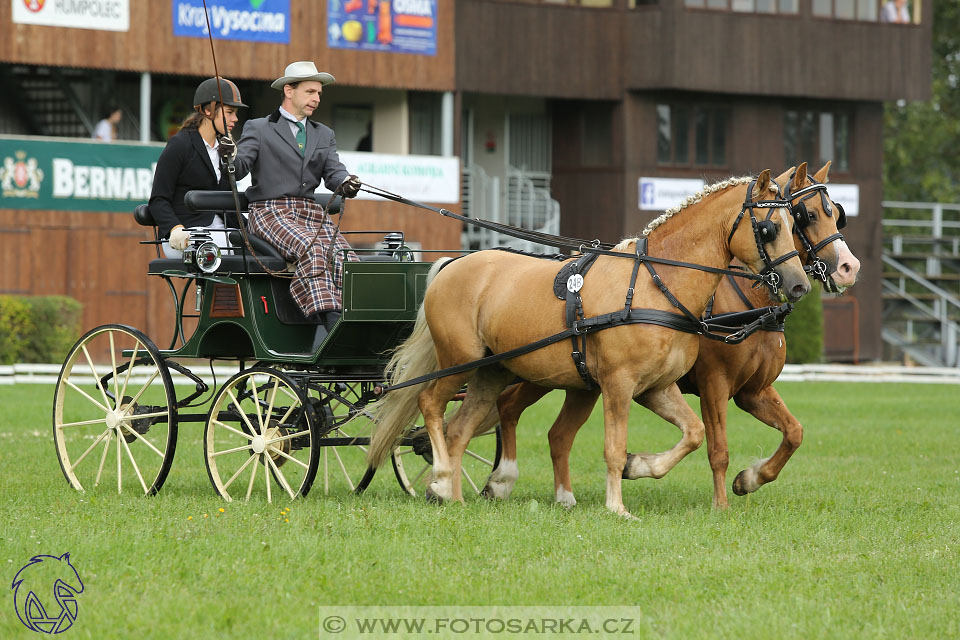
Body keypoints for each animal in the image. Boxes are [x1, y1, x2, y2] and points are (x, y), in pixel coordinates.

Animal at [366, 169, 808, 516]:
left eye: (796, 223)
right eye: (769, 228)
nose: (799, 284)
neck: (654, 285)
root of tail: (454, 263)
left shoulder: (658, 388)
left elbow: (695, 433)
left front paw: (638, 467)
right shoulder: (620, 385)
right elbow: (614, 446)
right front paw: (618, 506)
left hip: (494, 372)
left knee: (460, 430)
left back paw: (455, 495)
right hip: (461, 360)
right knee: (430, 404)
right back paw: (443, 478)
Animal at [484, 161, 860, 510]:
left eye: (836, 214)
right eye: (806, 215)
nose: (849, 268)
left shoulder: (752, 391)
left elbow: (794, 433)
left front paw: (750, 479)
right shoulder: (714, 384)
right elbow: (718, 448)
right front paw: (720, 505)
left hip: (577, 382)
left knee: (556, 434)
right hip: (538, 369)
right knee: (508, 406)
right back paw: (501, 479)